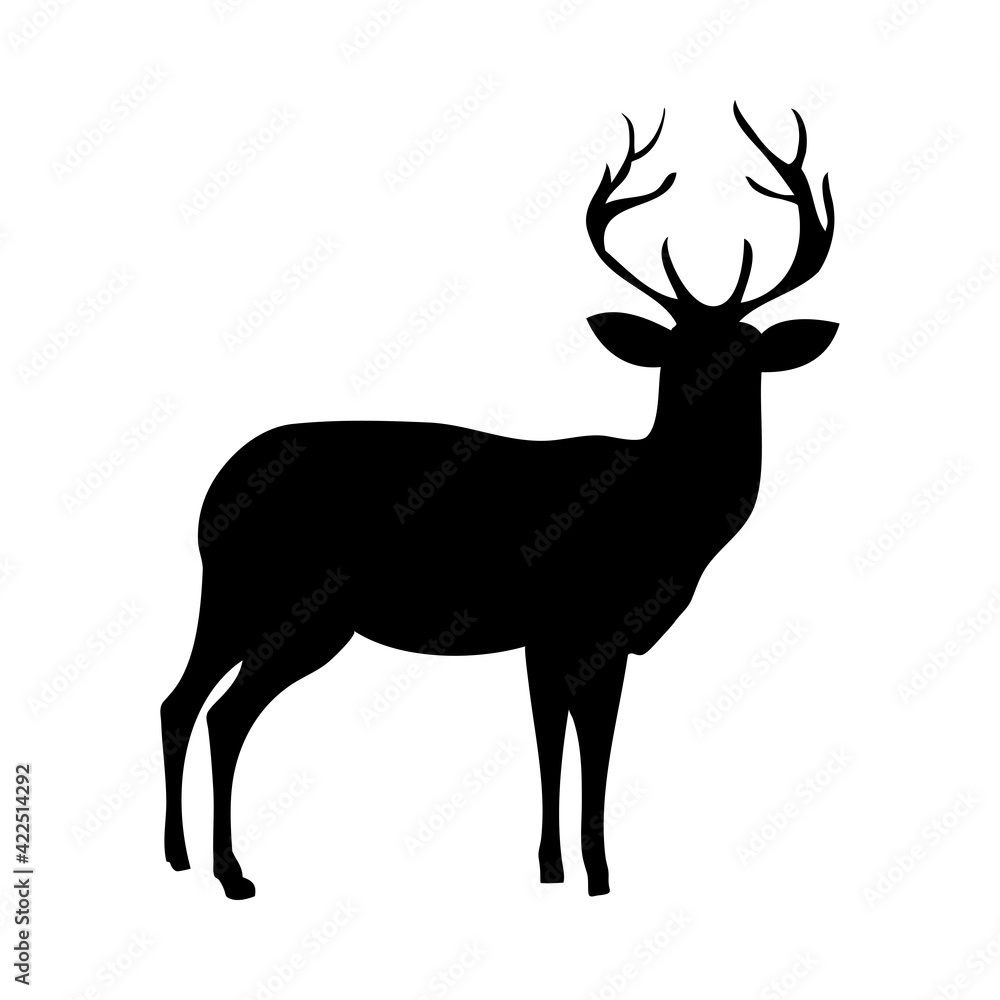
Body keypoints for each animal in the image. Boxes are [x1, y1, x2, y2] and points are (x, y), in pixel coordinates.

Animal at [161, 103, 836, 899]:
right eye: (675, 354)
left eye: (749, 352)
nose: (709, 394)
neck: (663, 519)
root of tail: (212, 495)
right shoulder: (582, 622)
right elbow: (586, 749)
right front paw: (595, 878)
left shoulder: (552, 639)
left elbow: (556, 744)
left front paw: (555, 871)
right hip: (296, 602)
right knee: (224, 713)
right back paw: (233, 874)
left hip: (233, 596)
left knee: (183, 702)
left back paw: (181, 858)